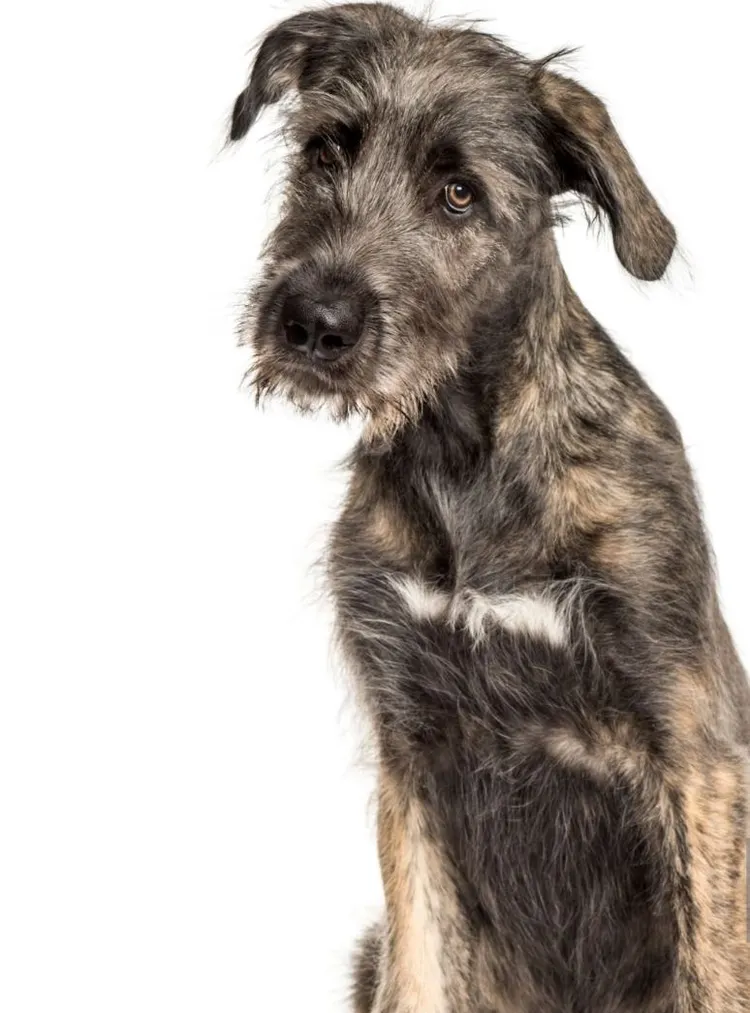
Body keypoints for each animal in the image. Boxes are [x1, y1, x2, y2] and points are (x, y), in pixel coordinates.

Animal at [228, 3, 750, 1008]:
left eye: (460, 194)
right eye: (327, 149)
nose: (311, 322)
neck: (467, 454)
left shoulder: (693, 747)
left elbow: (715, 968)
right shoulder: (412, 756)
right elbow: (421, 970)